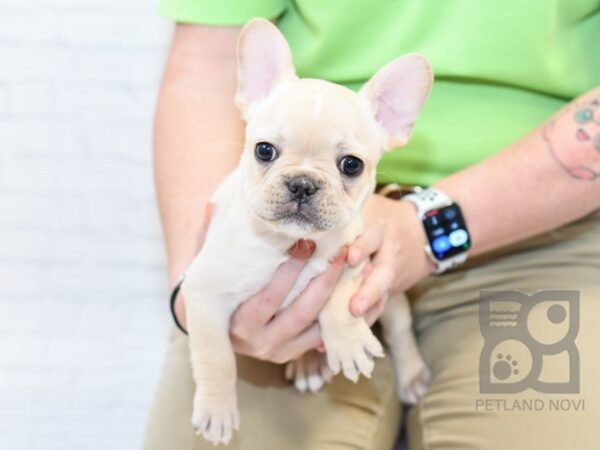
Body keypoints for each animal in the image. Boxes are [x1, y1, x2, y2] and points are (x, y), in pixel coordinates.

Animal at [182, 18, 432, 446]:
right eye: (264, 150)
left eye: (351, 164)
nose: (302, 184)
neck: (288, 244)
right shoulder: (203, 293)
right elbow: (215, 354)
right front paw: (217, 409)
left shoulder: (353, 256)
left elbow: (340, 297)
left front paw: (347, 341)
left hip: (392, 298)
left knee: (400, 328)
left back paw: (411, 373)